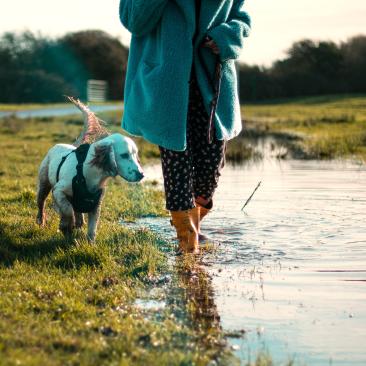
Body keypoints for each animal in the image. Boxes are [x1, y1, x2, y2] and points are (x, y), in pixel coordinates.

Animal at [36, 97, 144, 242]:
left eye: (135, 154)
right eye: (124, 155)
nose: (141, 175)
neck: (88, 172)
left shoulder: (96, 203)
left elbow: (92, 228)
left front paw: (90, 243)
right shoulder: (58, 190)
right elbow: (67, 210)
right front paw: (66, 225)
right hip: (44, 185)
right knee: (41, 203)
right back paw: (41, 220)